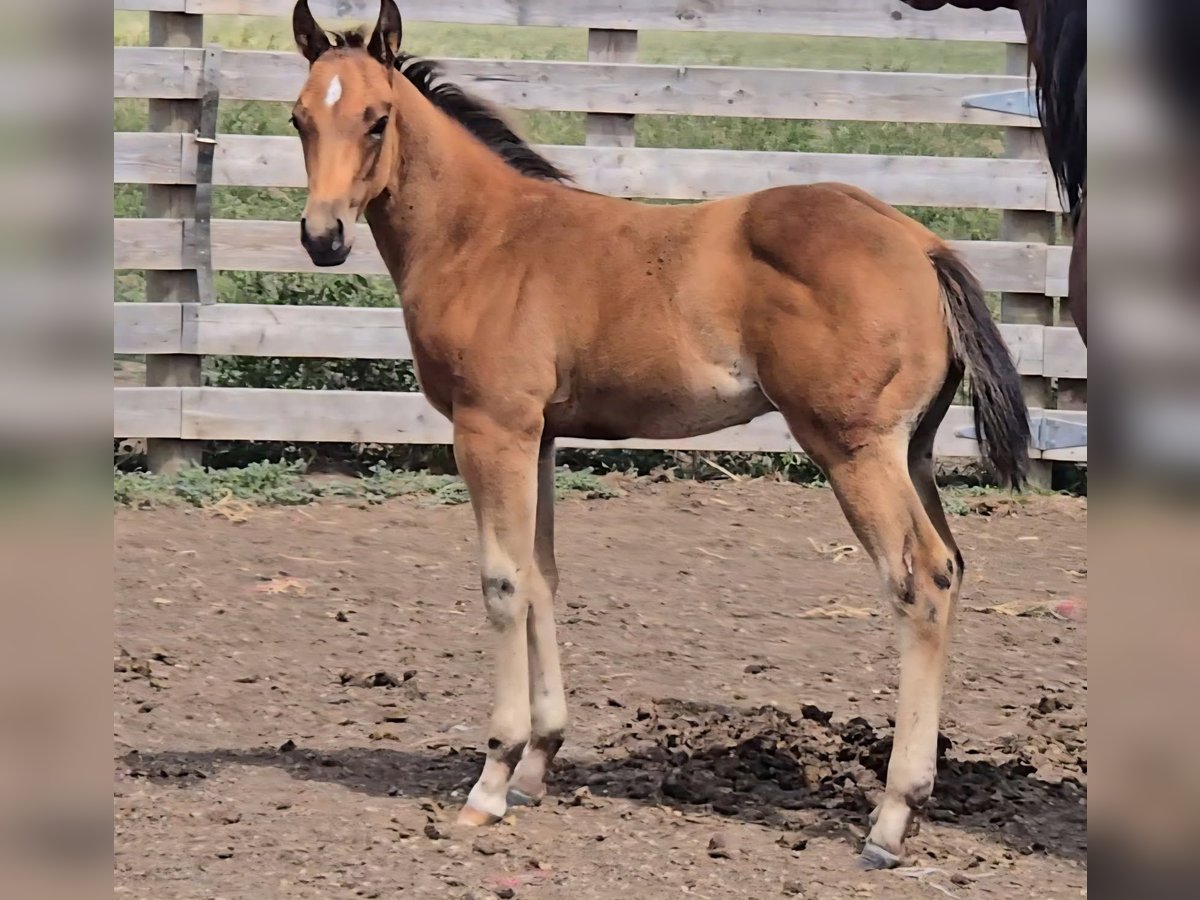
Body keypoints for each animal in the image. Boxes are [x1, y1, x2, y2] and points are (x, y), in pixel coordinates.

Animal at [289, 0, 1030, 870]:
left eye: (377, 120)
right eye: (300, 118)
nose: (322, 237)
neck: (484, 238)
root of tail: (922, 243)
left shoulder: (490, 428)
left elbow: (503, 583)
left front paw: (492, 779)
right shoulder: (541, 436)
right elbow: (543, 577)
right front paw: (538, 766)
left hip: (854, 448)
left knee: (921, 580)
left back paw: (889, 819)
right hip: (910, 451)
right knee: (953, 566)